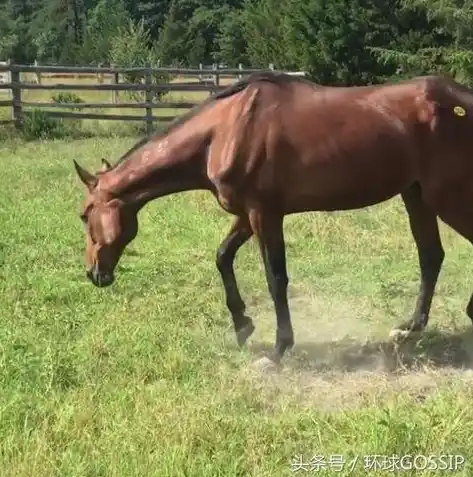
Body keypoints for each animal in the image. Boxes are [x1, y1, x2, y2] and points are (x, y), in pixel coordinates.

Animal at [74, 69, 473, 360]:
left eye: (83, 215)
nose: (95, 274)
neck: (224, 131)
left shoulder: (265, 214)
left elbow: (275, 278)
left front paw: (279, 348)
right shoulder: (247, 215)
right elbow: (223, 257)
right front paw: (243, 325)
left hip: (446, 197)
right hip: (416, 195)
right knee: (431, 256)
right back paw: (409, 328)